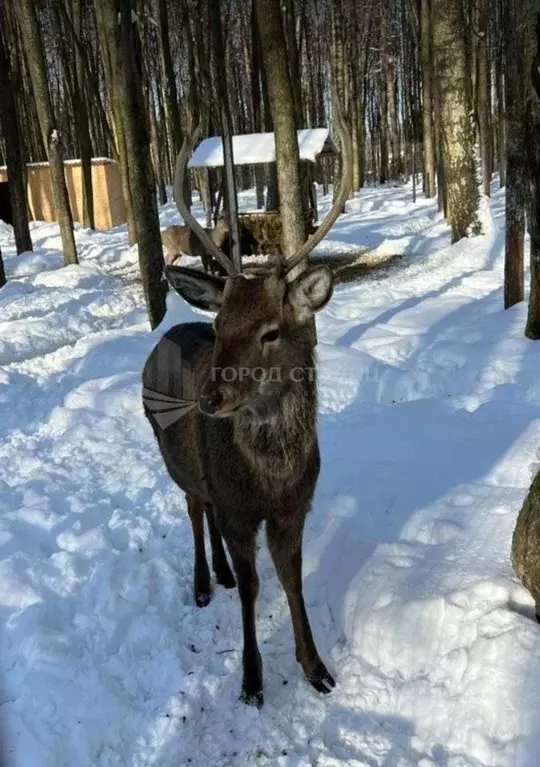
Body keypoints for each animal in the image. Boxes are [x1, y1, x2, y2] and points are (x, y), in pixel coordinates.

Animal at [143, 109, 352, 708]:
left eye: (271, 331)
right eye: (219, 324)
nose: (210, 399)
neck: (270, 480)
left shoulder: (295, 506)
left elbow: (291, 579)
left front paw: (316, 667)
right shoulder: (241, 510)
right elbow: (256, 589)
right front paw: (252, 680)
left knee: (205, 508)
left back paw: (220, 573)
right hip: (173, 459)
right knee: (194, 508)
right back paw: (202, 582)